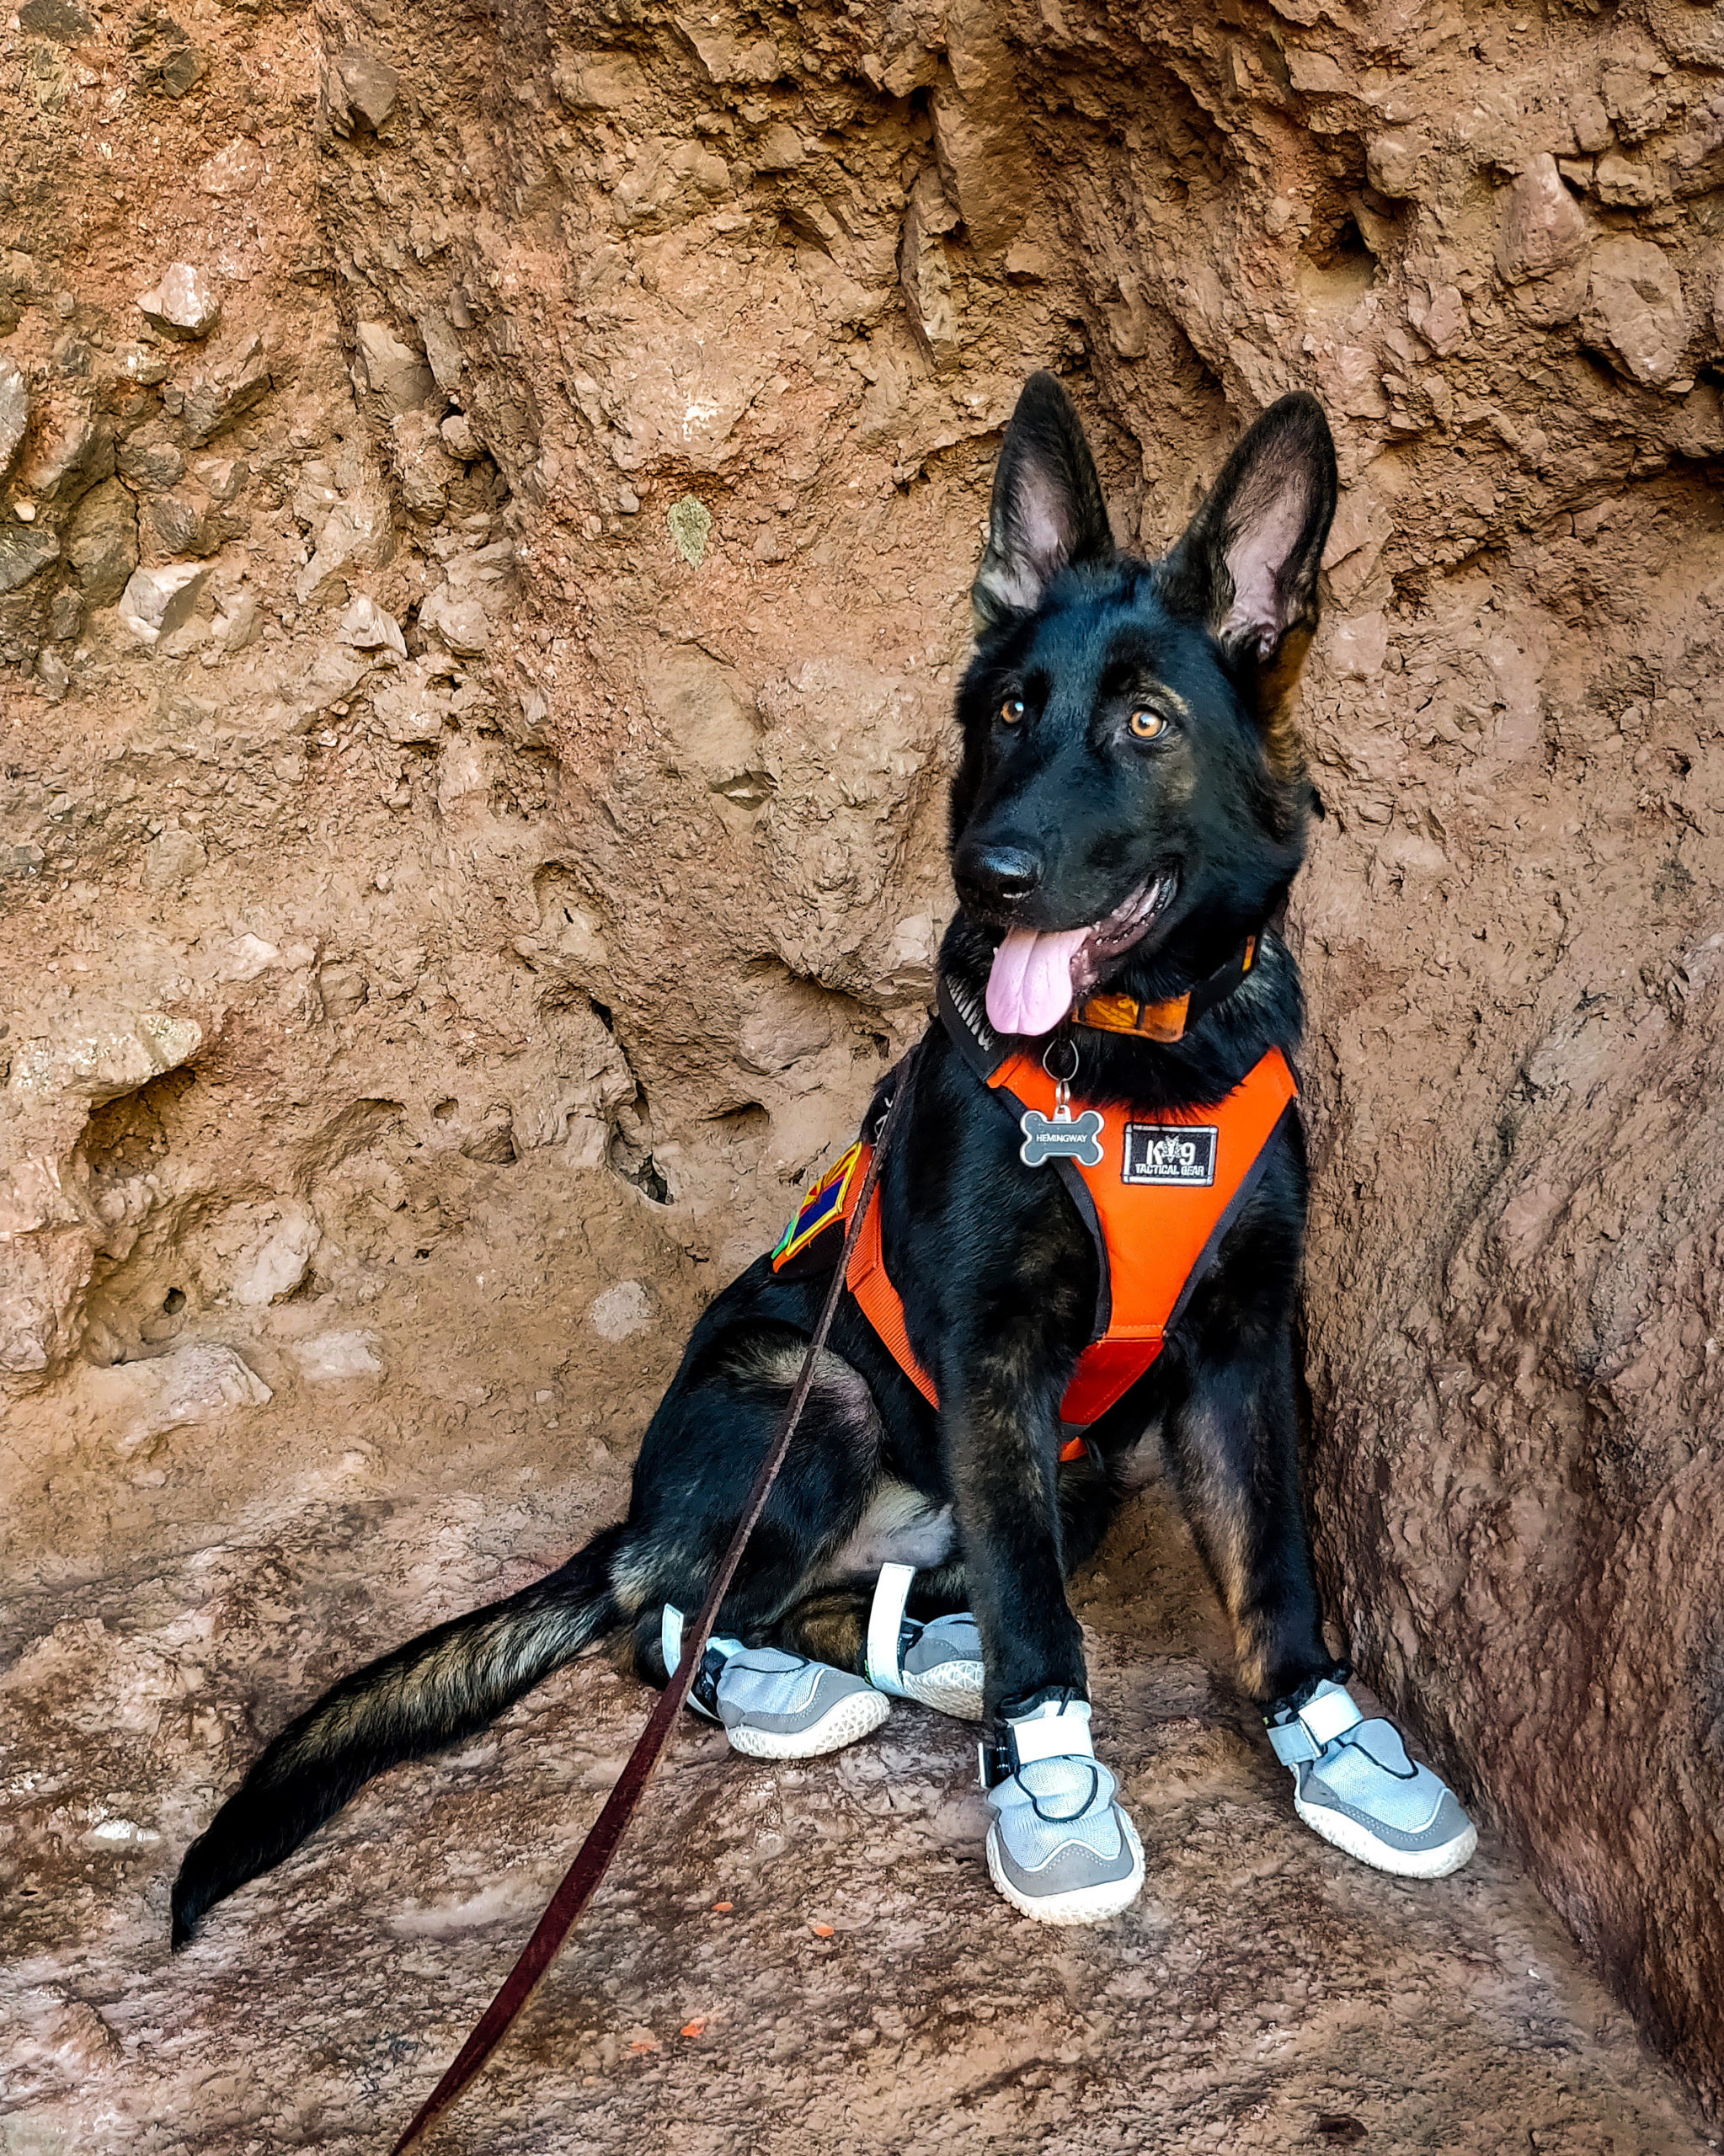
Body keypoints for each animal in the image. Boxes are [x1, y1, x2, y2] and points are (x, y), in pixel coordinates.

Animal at [174, 379, 1474, 1949]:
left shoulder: (1235, 1345)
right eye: (1011, 712)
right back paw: (797, 1685)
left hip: (1080, 1467)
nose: (990, 875)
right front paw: (1051, 1782)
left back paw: (926, 1654)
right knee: (684, 1624)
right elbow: (1038, 1616)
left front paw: (1329, 1743)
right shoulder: (990, 1352)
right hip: (823, 1401)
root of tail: (632, 1522)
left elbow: (1271, 1564)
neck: (1142, 1054)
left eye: (1145, 722)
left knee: (869, 1595)